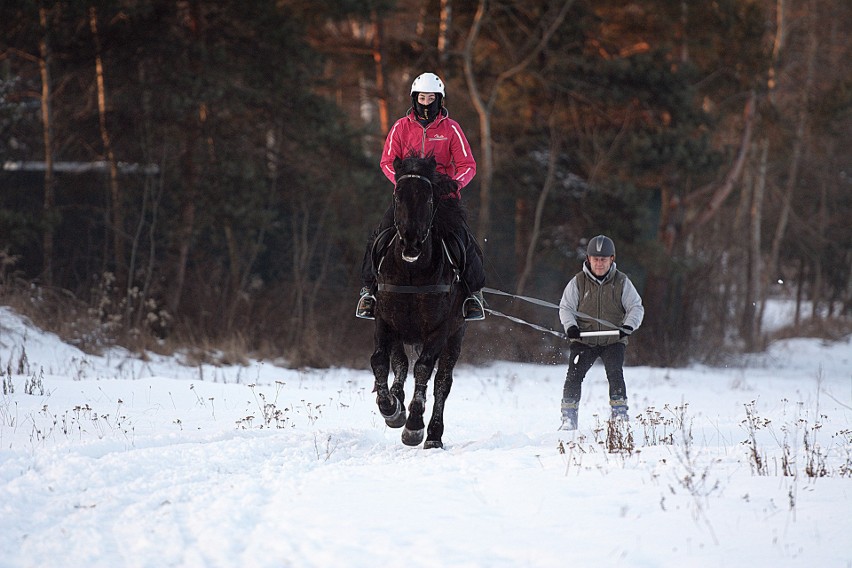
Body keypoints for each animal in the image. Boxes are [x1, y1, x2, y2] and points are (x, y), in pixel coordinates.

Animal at [370, 153, 470, 450]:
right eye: (397, 195)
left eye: (428, 198)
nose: (411, 243)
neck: (411, 272)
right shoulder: (386, 321)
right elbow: (382, 361)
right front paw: (390, 408)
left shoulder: (440, 329)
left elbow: (424, 370)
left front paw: (414, 425)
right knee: (401, 363)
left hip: (456, 336)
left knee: (442, 382)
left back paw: (434, 435)